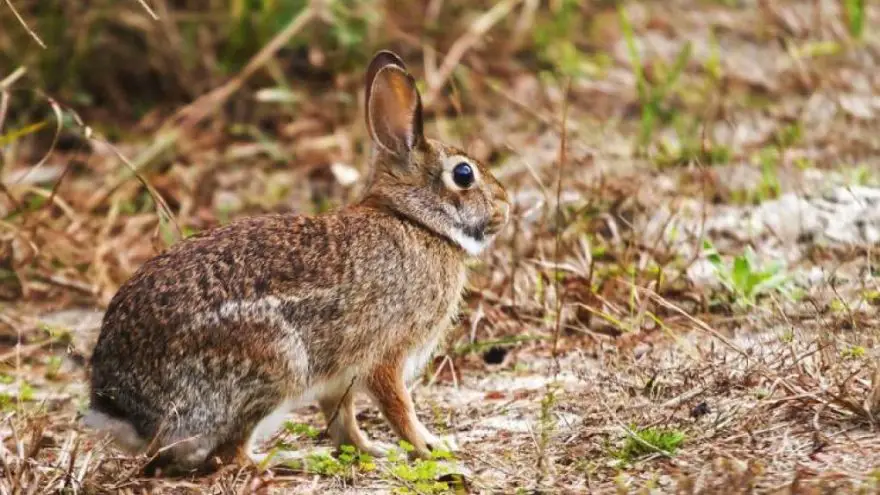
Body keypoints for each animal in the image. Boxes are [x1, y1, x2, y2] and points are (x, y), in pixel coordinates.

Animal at [84, 51, 508, 476]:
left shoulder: (339, 376)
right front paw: (431, 447)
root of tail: (123, 410)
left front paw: (371, 450)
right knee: (230, 455)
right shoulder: (386, 353)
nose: (504, 207)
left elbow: (343, 419)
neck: (415, 221)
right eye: (464, 174)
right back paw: (293, 459)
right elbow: (399, 408)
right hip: (276, 365)